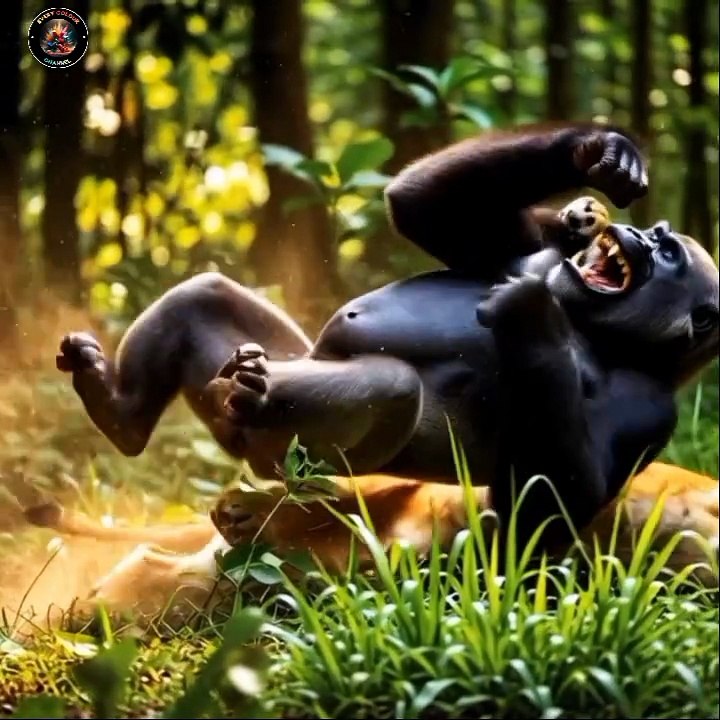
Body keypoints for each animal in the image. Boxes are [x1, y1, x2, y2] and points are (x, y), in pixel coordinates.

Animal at [55, 123, 720, 552]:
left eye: (667, 254)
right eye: (659, 236)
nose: (639, 235)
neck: (592, 325)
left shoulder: (649, 406)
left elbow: (548, 510)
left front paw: (528, 313)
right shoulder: (533, 250)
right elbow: (428, 205)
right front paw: (601, 150)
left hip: (275, 455)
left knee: (390, 386)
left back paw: (246, 401)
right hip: (277, 364)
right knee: (207, 293)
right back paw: (121, 411)